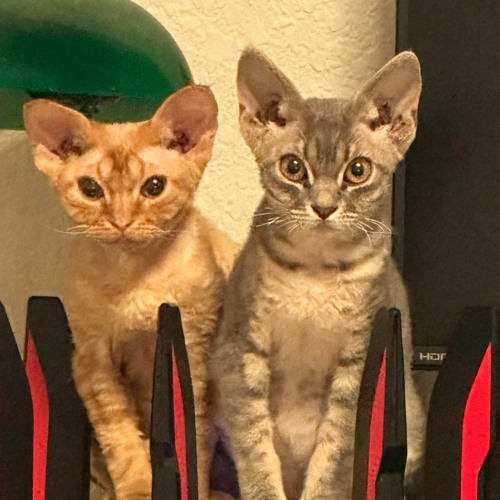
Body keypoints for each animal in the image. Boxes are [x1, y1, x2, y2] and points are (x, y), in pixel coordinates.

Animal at [23, 85, 239, 500]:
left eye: (154, 187)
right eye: (90, 189)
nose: (121, 221)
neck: (133, 277)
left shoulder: (195, 353)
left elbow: (193, 439)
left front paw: (193, 488)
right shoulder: (92, 363)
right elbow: (120, 437)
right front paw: (138, 486)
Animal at [212, 48, 426, 500]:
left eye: (358, 170)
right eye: (293, 167)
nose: (324, 207)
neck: (316, 272)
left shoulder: (360, 362)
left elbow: (334, 456)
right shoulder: (239, 348)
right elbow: (253, 445)